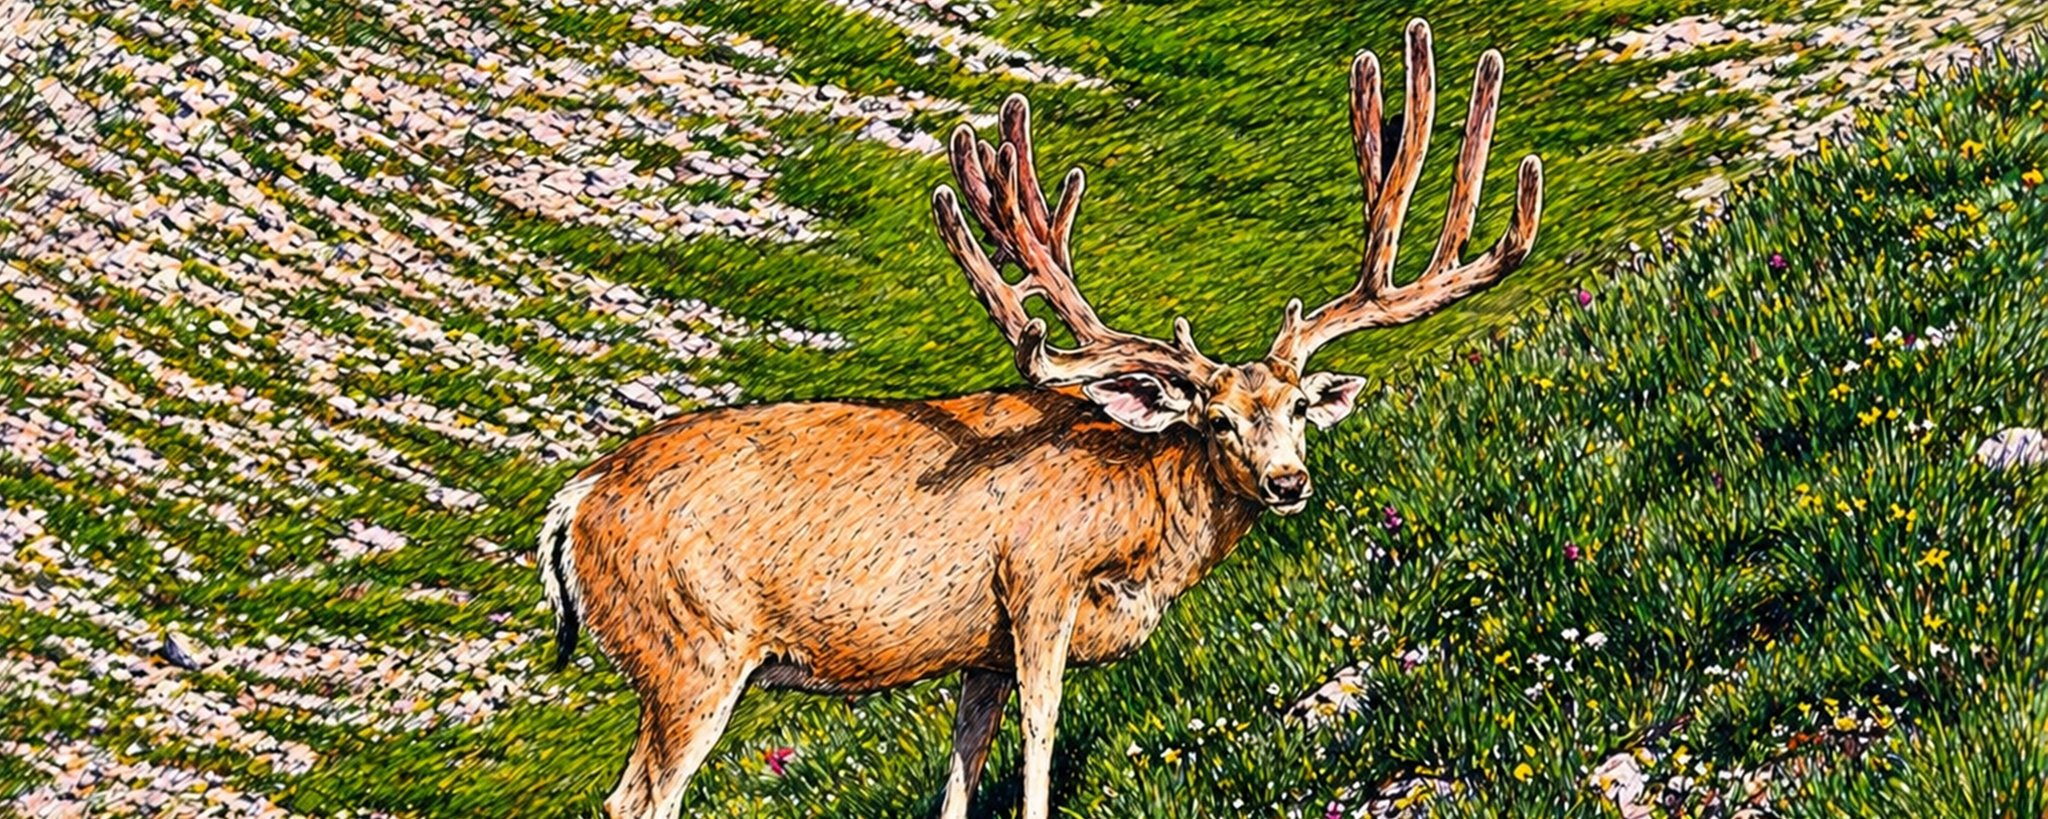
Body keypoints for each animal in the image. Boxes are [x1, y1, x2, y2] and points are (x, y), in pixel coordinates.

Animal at [540, 19, 1542, 819]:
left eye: (1297, 406)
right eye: (1216, 419)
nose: (1289, 480)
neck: (1140, 522)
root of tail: (571, 503)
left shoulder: (976, 647)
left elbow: (961, 770)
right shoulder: (1037, 581)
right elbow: (1039, 742)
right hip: (689, 648)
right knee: (635, 797)